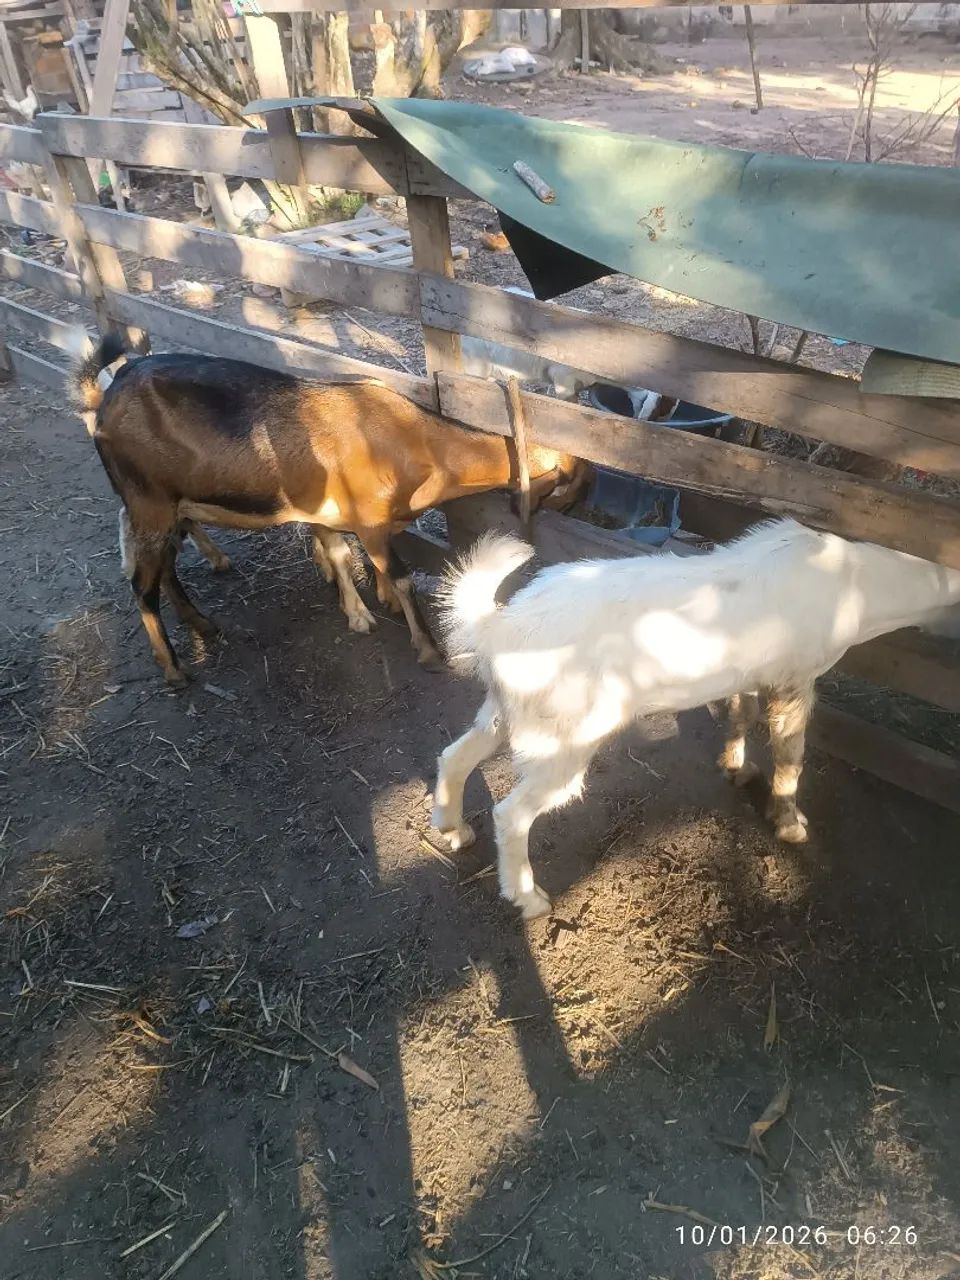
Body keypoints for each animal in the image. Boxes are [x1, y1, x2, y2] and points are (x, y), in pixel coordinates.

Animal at [72, 337, 586, 687]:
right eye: (573, 485)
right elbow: (398, 575)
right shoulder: (369, 520)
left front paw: (370, 603)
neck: (415, 442)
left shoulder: (339, 515)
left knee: (165, 569)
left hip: (166, 507)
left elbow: (347, 555)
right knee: (142, 584)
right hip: (149, 503)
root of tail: (105, 397)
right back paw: (174, 668)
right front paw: (426, 648)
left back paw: (202, 625)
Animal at [432, 519, 960, 918]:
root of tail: (498, 626)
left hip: (509, 710)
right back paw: (529, 899)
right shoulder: (796, 678)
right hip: (563, 736)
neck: (857, 585)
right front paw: (790, 823)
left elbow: (741, 714)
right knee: (511, 813)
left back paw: (452, 830)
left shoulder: (753, 673)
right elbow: (791, 758)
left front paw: (735, 766)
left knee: (454, 756)